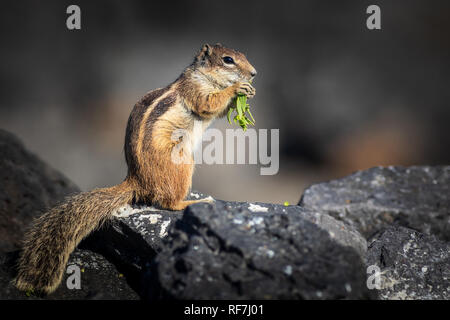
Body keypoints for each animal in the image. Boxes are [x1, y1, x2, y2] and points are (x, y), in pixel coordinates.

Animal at [14, 43, 256, 296]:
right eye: (228, 60)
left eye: (243, 55)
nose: (254, 73)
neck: (204, 75)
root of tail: (136, 181)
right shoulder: (195, 90)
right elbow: (208, 104)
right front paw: (237, 89)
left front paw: (249, 92)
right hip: (182, 161)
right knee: (169, 203)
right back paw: (195, 202)